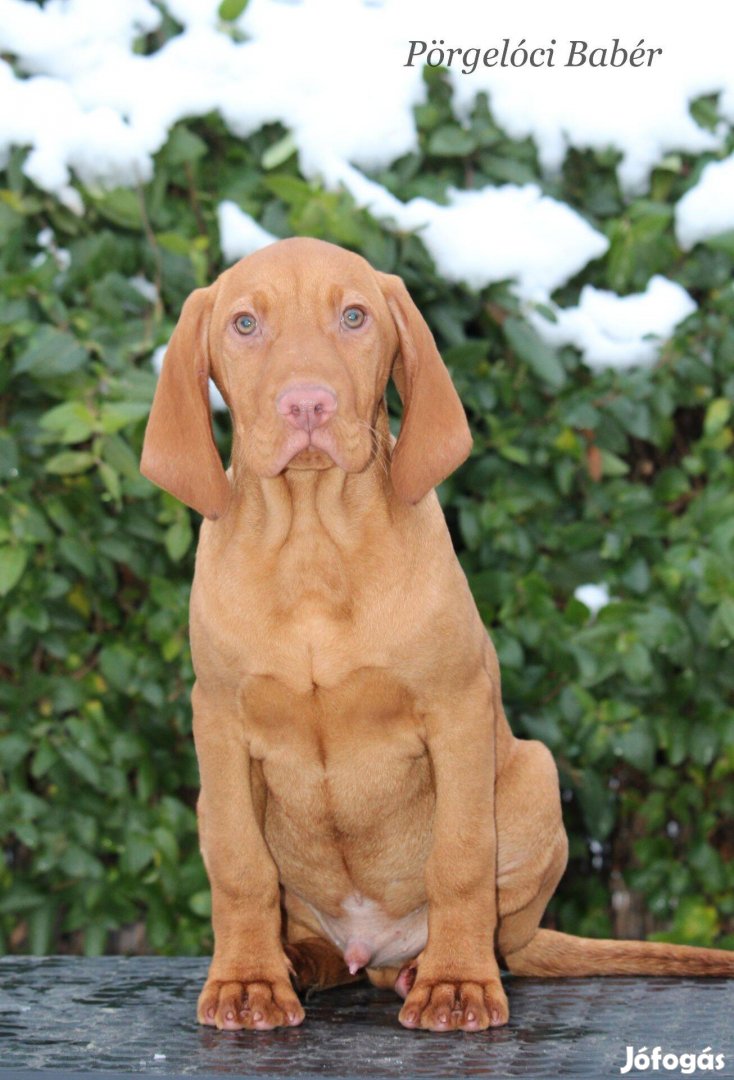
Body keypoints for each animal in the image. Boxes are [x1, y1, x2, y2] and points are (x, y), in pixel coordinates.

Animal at [140, 240, 734, 1032]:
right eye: (243, 324)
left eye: (354, 316)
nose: (307, 404)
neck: (314, 547)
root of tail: (373, 948)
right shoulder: (219, 723)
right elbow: (238, 866)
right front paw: (247, 982)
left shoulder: (456, 710)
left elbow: (459, 855)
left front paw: (457, 983)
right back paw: (301, 959)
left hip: (534, 775)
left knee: (499, 926)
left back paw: (432, 965)